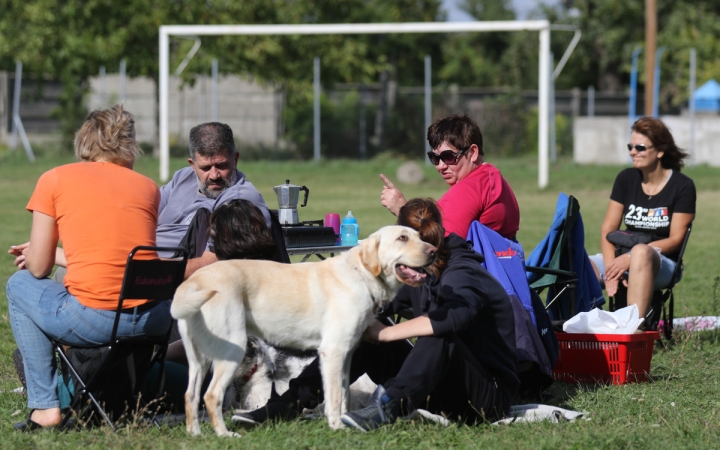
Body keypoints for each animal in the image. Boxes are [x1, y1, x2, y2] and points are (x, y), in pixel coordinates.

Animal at [172, 225, 436, 436]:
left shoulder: (347, 355)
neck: (361, 274)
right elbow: (334, 397)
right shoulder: (332, 352)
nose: (434, 250)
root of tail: (193, 281)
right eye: (402, 238)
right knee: (211, 396)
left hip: (199, 360)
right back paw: (225, 435)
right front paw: (337, 427)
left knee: (190, 395)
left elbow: (344, 395)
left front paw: (344, 421)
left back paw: (195, 434)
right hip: (231, 350)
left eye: (419, 236)